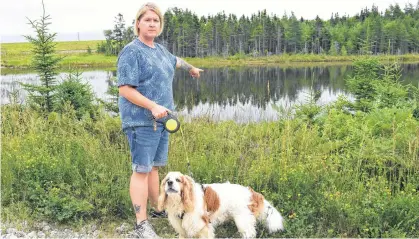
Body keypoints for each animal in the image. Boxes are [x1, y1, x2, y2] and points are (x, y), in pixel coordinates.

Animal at [158, 173, 286, 238]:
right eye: (167, 180)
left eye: (178, 180)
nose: (170, 183)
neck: (180, 203)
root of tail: (251, 192)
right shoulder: (183, 230)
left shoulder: (203, 227)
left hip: (242, 221)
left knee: (249, 233)